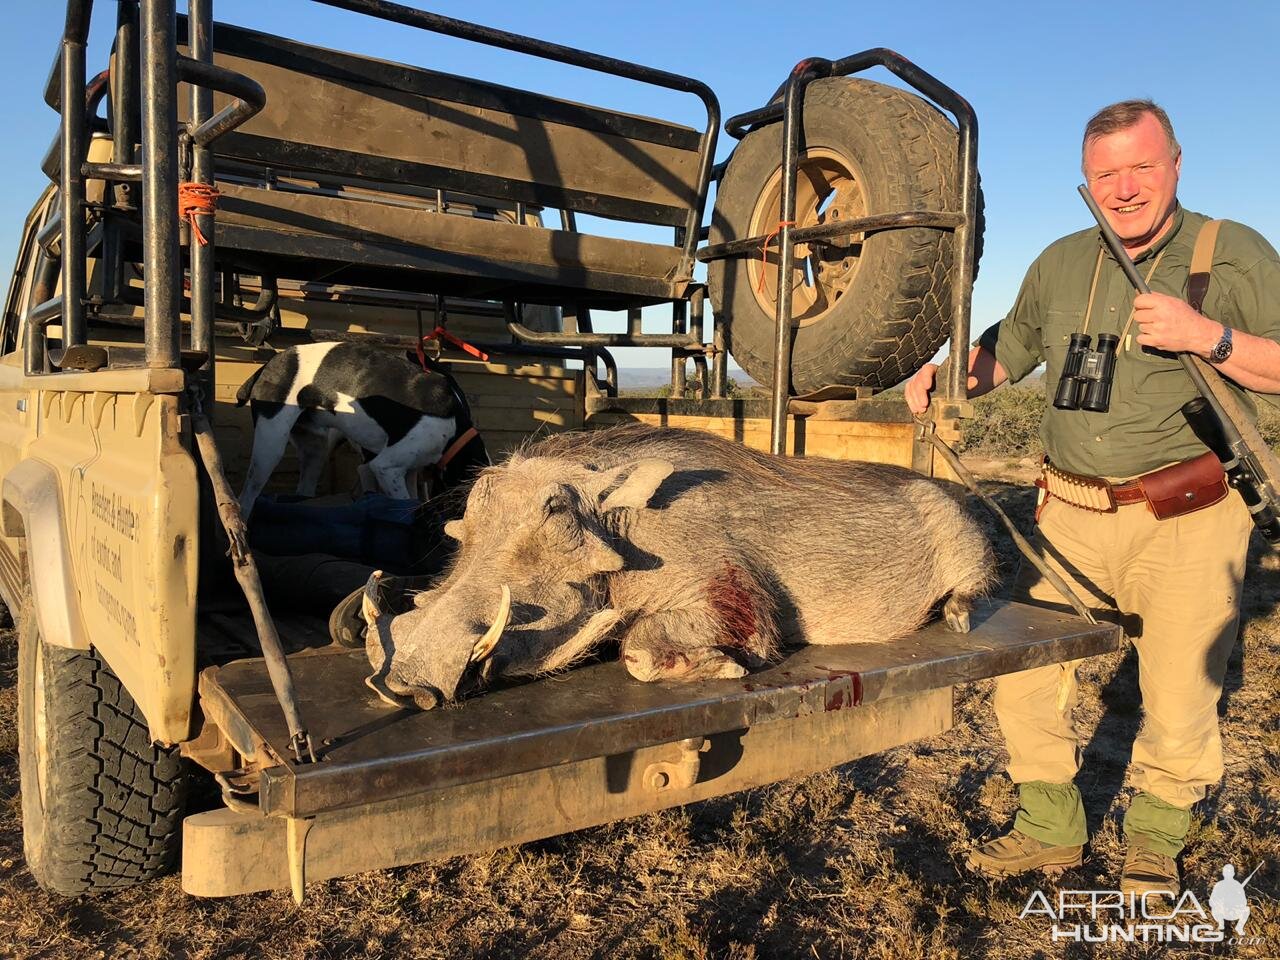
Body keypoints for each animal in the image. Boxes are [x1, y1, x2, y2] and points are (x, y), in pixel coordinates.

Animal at [232, 340, 486, 519]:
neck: (455, 431)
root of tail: (267, 365)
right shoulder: (385, 467)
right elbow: (403, 503)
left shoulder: (410, 470)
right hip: (270, 447)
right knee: (247, 498)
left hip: (314, 451)